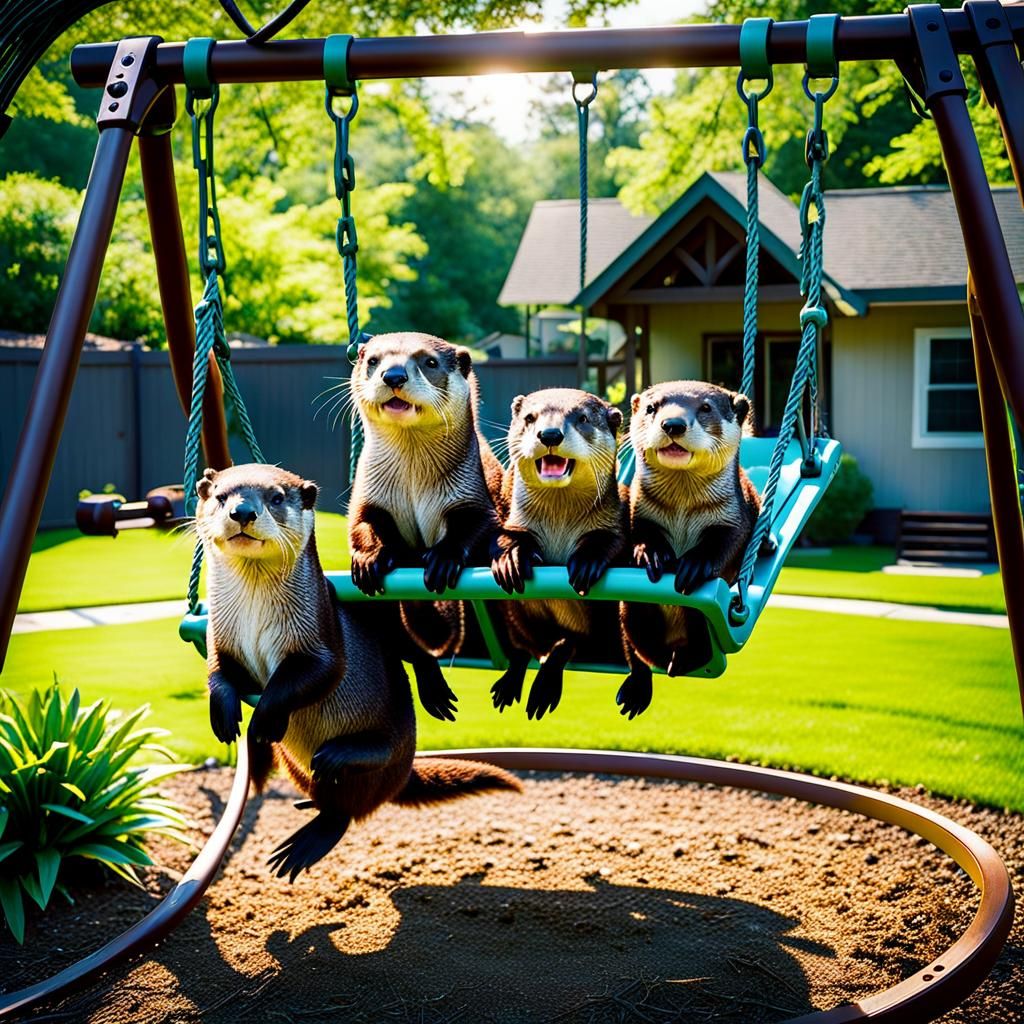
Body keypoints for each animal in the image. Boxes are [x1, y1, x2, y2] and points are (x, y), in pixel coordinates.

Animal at [195, 463, 520, 881]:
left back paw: (332, 782)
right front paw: (224, 715)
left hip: (388, 750)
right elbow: (217, 676)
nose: (242, 511)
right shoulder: (220, 639)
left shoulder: (319, 637)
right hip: (293, 766)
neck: (254, 625)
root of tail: (402, 774)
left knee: (349, 805)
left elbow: (320, 673)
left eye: (276, 497)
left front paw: (263, 721)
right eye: (221, 496)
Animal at [348, 332, 503, 721]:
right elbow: (362, 524)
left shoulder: (474, 497)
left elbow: (477, 528)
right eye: (373, 360)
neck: (415, 485)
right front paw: (369, 558)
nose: (394, 375)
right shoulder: (366, 498)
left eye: (429, 361)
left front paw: (443, 559)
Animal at [490, 388, 626, 720]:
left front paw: (587, 563)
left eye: (583, 419)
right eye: (530, 417)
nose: (549, 433)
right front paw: (512, 559)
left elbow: (609, 541)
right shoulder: (515, 521)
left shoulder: (613, 524)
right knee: (525, 647)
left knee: (569, 643)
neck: (559, 527)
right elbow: (506, 537)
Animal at [618, 380, 760, 718]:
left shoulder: (734, 518)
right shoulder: (637, 513)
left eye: (705, 407)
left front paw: (695, 565)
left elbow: (727, 542)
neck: (682, 513)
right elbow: (641, 535)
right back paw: (639, 686)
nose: (673, 423)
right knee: (637, 650)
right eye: (652, 407)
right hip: (630, 611)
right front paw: (652, 554)